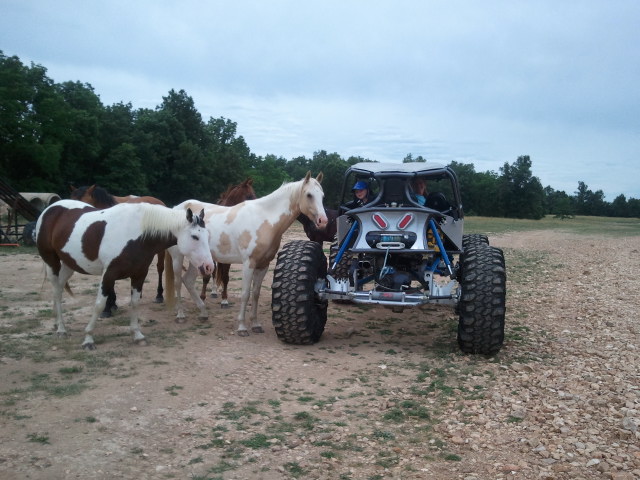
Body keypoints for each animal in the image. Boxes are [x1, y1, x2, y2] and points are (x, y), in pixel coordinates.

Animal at [35, 199, 215, 350]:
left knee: (59, 288)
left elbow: (135, 303)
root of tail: (50, 209)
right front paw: (88, 338)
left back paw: (56, 322)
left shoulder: (139, 274)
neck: (137, 234)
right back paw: (61, 329)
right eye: (195, 236)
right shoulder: (108, 275)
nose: (209, 267)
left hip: (69, 264)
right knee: (56, 291)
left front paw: (137, 335)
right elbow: (100, 304)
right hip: (51, 262)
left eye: (207, 235)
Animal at [199, 178, 257, 307]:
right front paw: (202, 298)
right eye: (249, 196)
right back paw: (213, 291)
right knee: (214, 271)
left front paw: (225, 300)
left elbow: (225, 277)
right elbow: (207, 275)